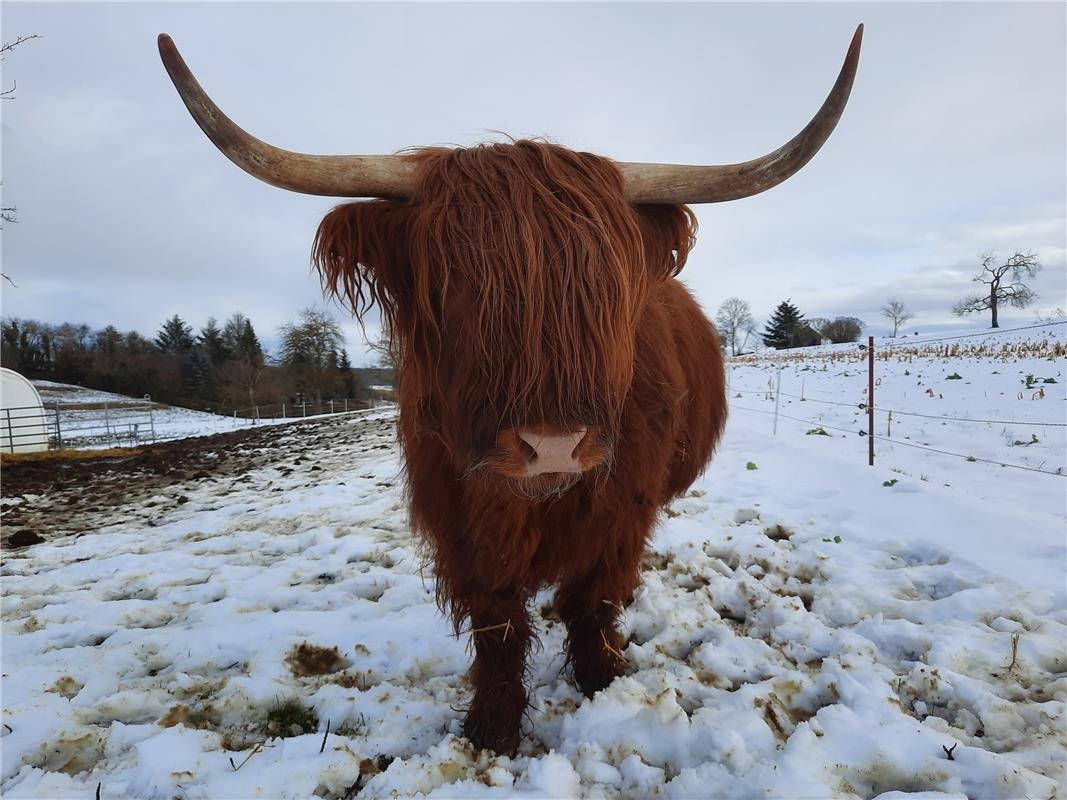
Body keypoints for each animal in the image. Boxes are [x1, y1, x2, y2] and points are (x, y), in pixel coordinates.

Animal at [155, 28, 857, 755]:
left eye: (608, 291)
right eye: (452, 287)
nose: (554, 447)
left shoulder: (621, 513)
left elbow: (591, 600)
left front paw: (600, 677)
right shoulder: (459, 525)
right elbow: (497, 624)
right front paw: (491, 726)